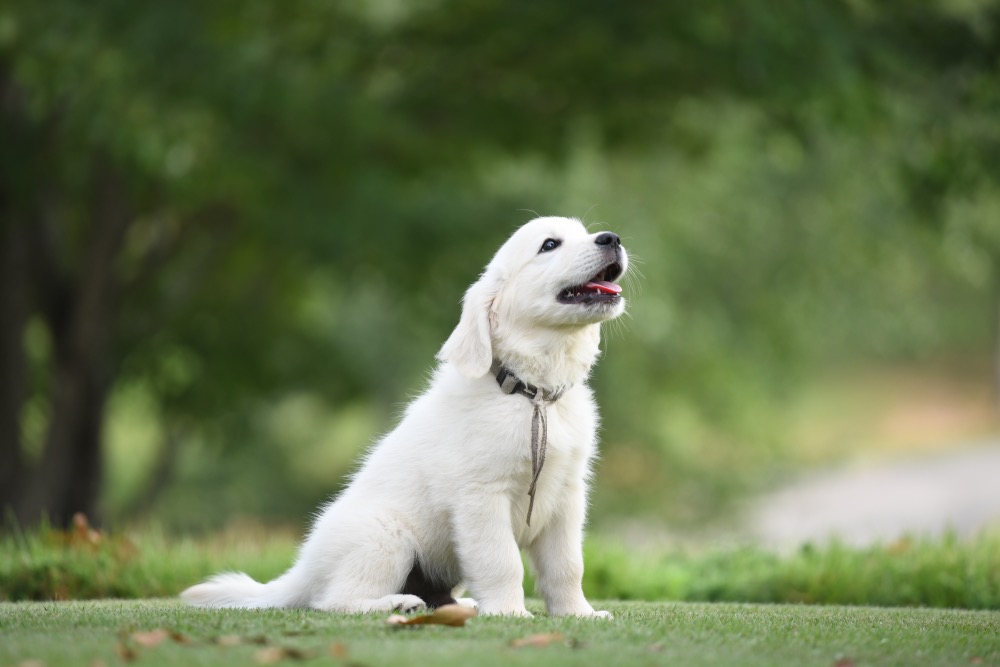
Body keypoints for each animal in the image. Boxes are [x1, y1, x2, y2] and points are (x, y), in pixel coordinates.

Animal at [182, 217, 624, 620]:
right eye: (549, 244)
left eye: (585, 231)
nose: (612, 238)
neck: (533, 396)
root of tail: (302, 572)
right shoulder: (482, 497)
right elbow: (502, 562)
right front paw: (509, 612)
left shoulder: (566, 496)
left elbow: (567, 566)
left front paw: (578, 613)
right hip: (385, 538)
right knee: (333, 601)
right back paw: (398, 603)